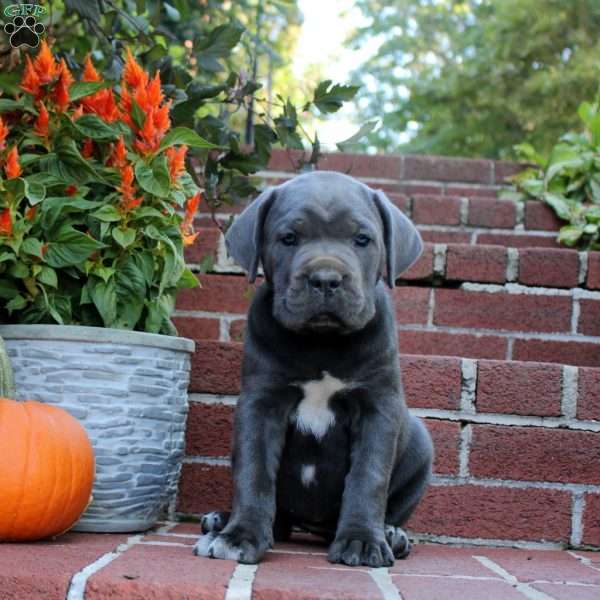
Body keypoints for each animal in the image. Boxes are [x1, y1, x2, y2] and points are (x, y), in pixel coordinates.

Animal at [195, 170, 434, 568]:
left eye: (362, 239)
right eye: (289, 238)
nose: (325, 278)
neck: (322, 344)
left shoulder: (378, 407)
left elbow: (368, 476)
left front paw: (363, 541)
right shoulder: (261, 403)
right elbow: (254, 470)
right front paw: (239, 536)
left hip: (420, 444)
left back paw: (391, 534)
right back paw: (223, 520)